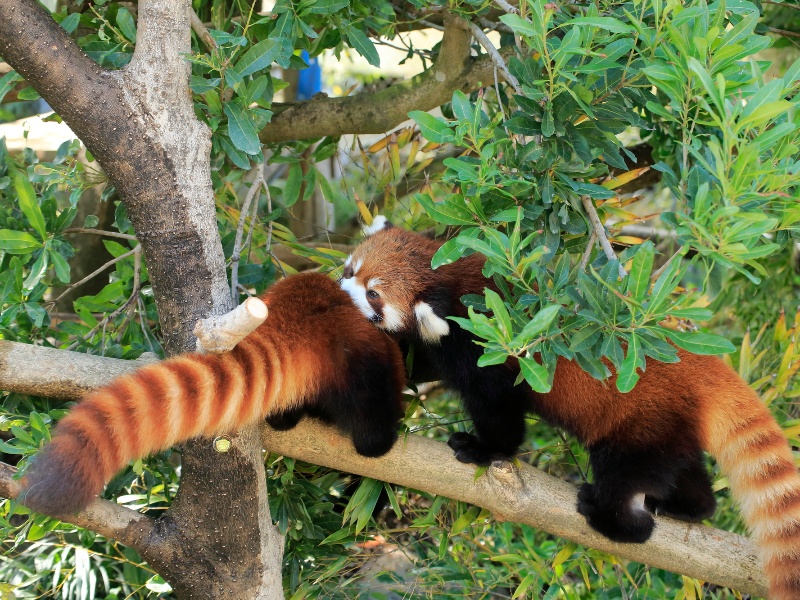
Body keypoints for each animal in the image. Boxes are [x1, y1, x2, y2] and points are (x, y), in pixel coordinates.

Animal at [342, 218, 800, 596]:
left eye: (373, 294)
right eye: (350, 271)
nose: (341, 291)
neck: (445, 284)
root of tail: (700, 365)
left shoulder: (486, 347)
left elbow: (499, 413)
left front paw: (483, 449)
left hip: (639, 423)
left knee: (625, 472)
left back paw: (614, 518)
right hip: (672, 424)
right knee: (685, 470)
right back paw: (687, 506)